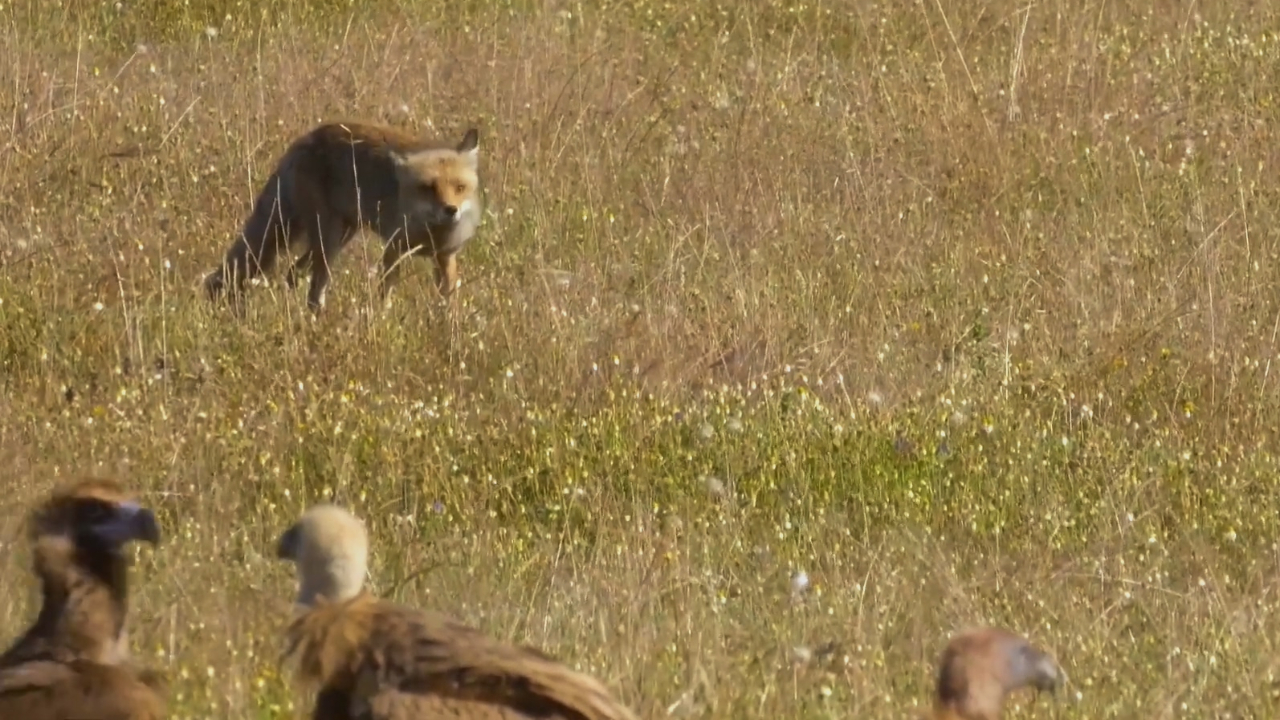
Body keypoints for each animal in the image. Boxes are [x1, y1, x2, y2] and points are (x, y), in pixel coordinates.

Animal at [202, 121, 481, 312]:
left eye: (460, 188)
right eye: (428, 188)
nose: (450, 210)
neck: (432, 234)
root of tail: (306, 139)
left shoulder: (445, 257)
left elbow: (449, 303)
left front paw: (449, 333)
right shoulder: (394, 249)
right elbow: (385, 296)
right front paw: (383, 322)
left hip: (341, 235)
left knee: (293, 273)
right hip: (329, 241)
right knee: (313, 289)